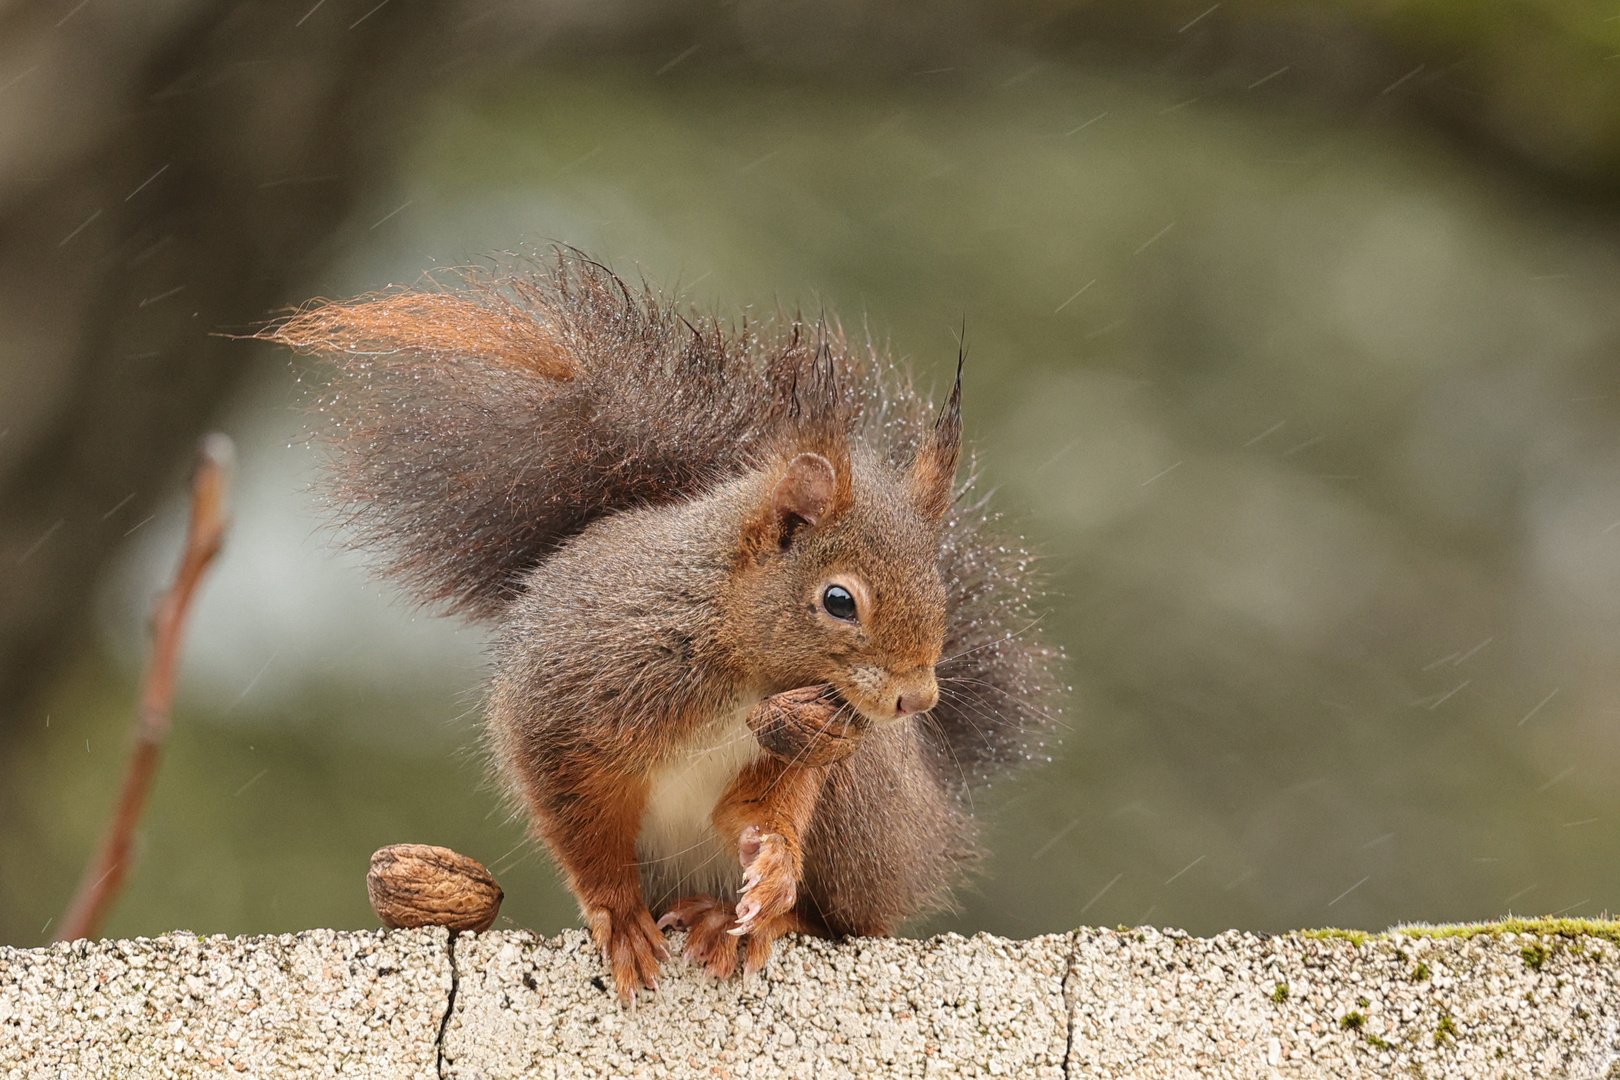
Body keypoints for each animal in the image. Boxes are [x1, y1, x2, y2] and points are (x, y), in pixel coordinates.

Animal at [265, 254, 1062, 1003]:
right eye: (840, 601)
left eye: (938, 587)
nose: (917, 699)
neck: (739, 658)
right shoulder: (575, 705)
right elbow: (580, 817)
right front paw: (618, 916)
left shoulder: (811, 741)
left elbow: (760, 811)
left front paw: (775, 866)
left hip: (861, 798)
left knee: (849, 919)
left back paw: (747, 917)